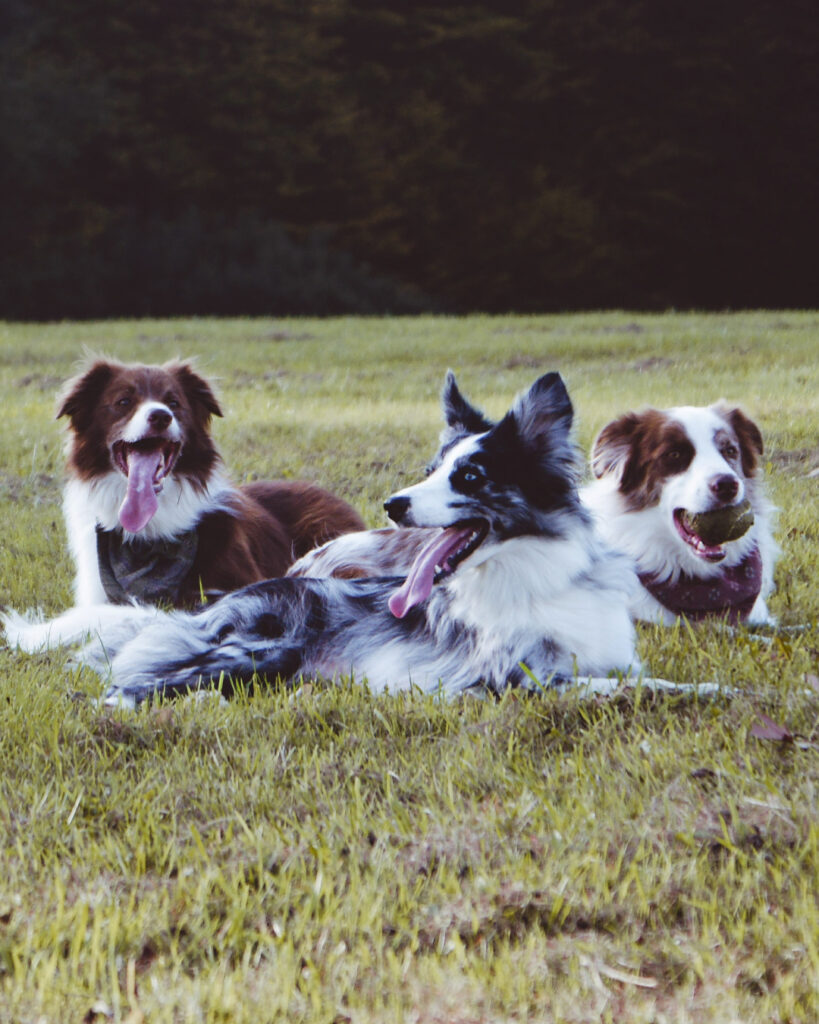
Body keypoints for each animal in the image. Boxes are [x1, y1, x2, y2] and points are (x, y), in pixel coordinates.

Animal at [38, 372, 647, 708]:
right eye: (431, 470)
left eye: (470, 476)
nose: (394, 505)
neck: (532, 578)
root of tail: (200, 612)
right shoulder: (507, 679)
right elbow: (640, 687)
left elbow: (632, 680)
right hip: (256, 649)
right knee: (124, 691)